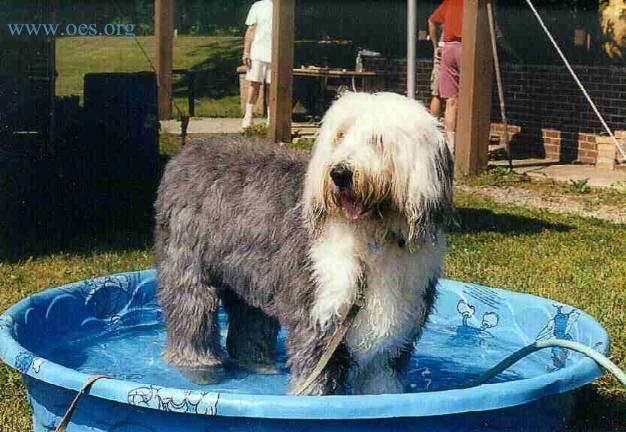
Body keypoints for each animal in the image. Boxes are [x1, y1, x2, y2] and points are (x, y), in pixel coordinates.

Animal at [154, 93, 450, 396]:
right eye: (340, 136)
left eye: (378, 139)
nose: (340, 173)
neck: (372, 241)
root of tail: (189, 150)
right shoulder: (319, 322)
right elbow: (316, 383)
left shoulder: (392, 344)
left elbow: (381, 386)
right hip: (187, 264)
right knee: (191, 312)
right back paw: (198, 366)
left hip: (251, 274)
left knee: (250, 317)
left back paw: (258, 363)